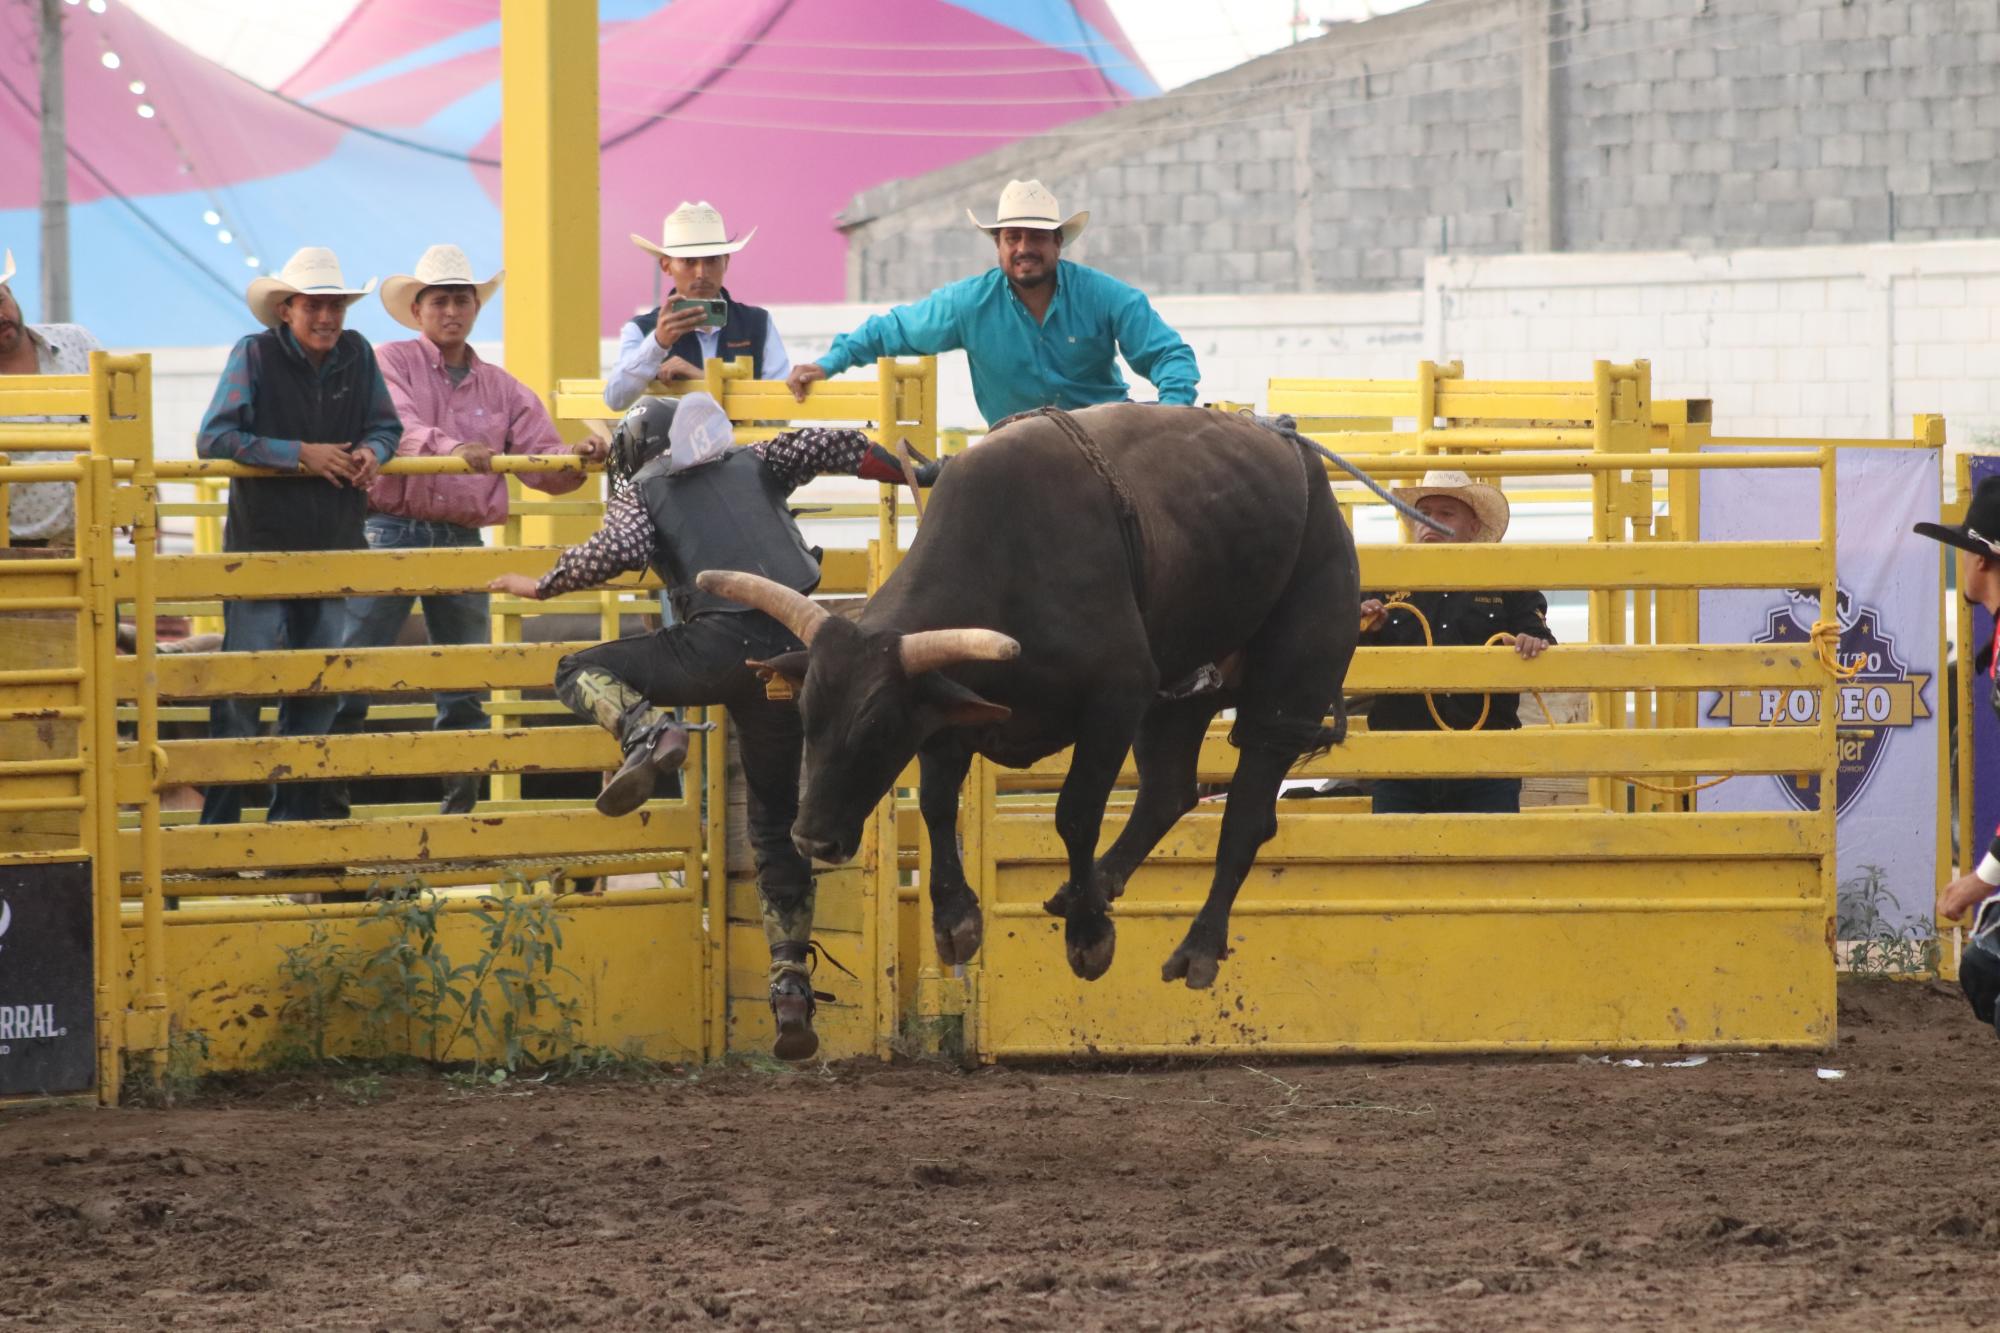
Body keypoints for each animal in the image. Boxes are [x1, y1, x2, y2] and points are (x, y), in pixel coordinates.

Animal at [704, 404, 1376, 984]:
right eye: (806, 715)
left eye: (878, 729)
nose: (811, 840)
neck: (1011, 558)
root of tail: (1297, 453)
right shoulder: (947, 709)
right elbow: (938, 805)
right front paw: (956, 920)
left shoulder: (1114, 702)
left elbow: (1075, 814)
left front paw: (1089, 935)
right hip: (1178, 698)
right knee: (1169, 791)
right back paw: (1099, 884)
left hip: (1283, 694)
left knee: (1244, 815)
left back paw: (1196, 947)